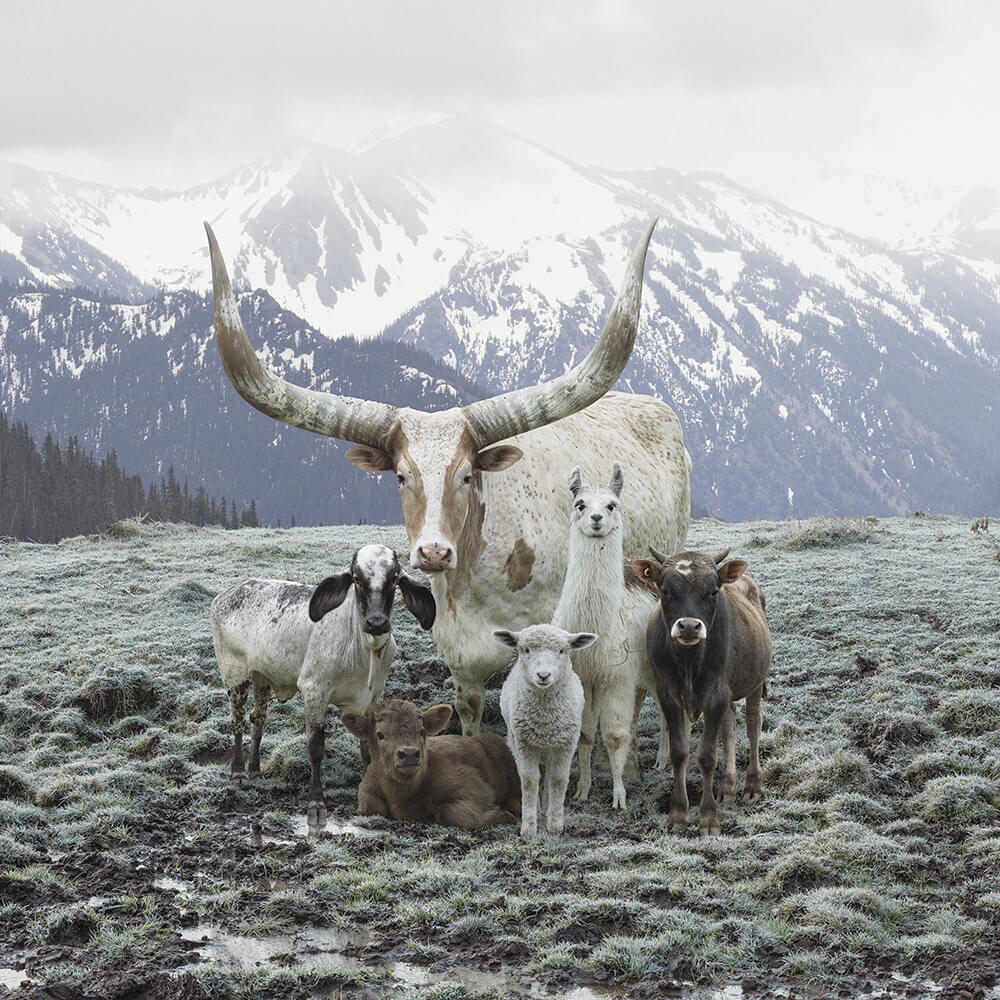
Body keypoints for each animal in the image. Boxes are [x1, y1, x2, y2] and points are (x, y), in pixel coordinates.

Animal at [203, 219, 688, 736]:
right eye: (400, 476)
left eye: (467, 476)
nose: (433, 552)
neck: (480, 577)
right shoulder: (460, 660)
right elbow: (470, 715)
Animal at [340, 696, 520, 828]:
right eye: (380, 734)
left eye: (421, 731)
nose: (410, 754)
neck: (403, 796)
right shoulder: (367, 787)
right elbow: (370, 806)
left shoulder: (478, 788)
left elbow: (455, 814)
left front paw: (502, 815)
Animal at [492, 624, 592, 836]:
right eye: (525, 650)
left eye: (562, 651)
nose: (543, 676)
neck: (545, 719)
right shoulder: (524, 744)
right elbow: (529, 781)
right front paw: (529, 826)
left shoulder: (566, 743)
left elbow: (558, 780)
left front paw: (555, 823)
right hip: (517, 741)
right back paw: (539, 809)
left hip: (551, 747)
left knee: (548, 776)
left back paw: (546, 807)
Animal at [552, 464, 668, 808]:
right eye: (580, 504)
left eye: (612, 505)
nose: (596, 519)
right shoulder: (586, 678)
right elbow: (586, 734)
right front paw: (582, 789)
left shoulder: (615, 678)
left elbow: (615, 736)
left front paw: (619, 797)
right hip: (638, 674)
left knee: (666, 710)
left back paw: (662, 760)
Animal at [632, 552, 772, 832]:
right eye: (665, 590)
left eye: (712, 591)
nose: (688, 626)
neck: (689, 662)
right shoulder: (669, 695)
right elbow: (679, 753)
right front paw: (677, 815)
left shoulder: (716, 695)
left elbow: (707, 756)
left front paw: (708, 818)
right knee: (729, 726)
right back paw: (728, 787)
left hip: (755, 682)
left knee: (753, 724)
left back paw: (752, 785)